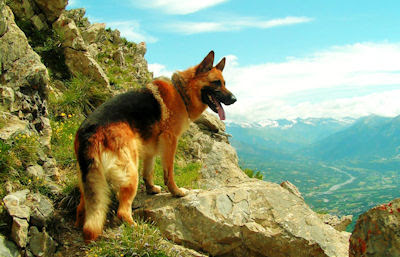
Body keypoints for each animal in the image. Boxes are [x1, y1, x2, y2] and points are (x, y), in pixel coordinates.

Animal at [74, 50, 236, 240]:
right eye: (216, 82)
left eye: (224, 83)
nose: (234, 99)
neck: (182, 92)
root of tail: (90, 131)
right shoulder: (170, 141)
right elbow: (169, 173)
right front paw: (176, 192)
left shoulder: (150, 148)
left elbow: (148, 171)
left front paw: (151, 189)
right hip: (130, 173)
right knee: (122, 211)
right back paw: (136, 229)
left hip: (92, 181)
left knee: (83, 208)